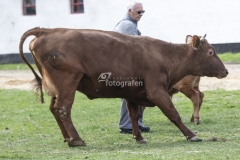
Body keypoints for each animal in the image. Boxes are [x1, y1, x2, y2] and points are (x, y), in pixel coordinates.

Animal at [18, 26, 227, 147]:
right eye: (210, 52)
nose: (225, 71)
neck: (163, 55)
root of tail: (46, 30)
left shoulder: (132, 94)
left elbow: (134, 115)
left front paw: (139, 137)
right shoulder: (157, 91)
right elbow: (173, 114)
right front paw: (191, 135)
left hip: (54, 88)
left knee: (54, 109)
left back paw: (67, 137)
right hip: (67, 83)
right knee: (63, 109)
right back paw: (76, 140)